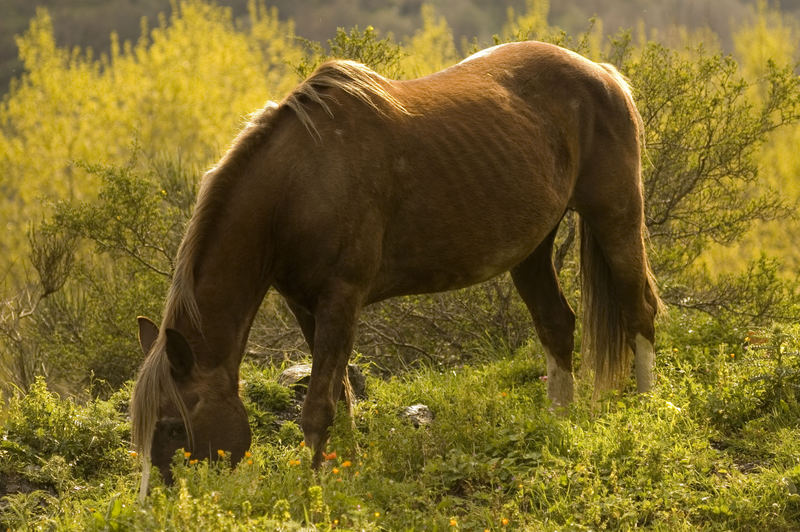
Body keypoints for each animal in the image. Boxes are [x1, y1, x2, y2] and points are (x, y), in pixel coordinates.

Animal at [131, 39, 660, 496]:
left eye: (173, 426)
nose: (158, 501)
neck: (298, 185)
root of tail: (603, 73)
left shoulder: (341, 299)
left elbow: (319, 406)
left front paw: (314, 489)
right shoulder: (306, 305)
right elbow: (342, 396)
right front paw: (345, 471)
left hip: (615, 217)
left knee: (640, 312)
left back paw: (648, 411)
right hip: (531, 248)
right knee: (556, 325)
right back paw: (556, 423)